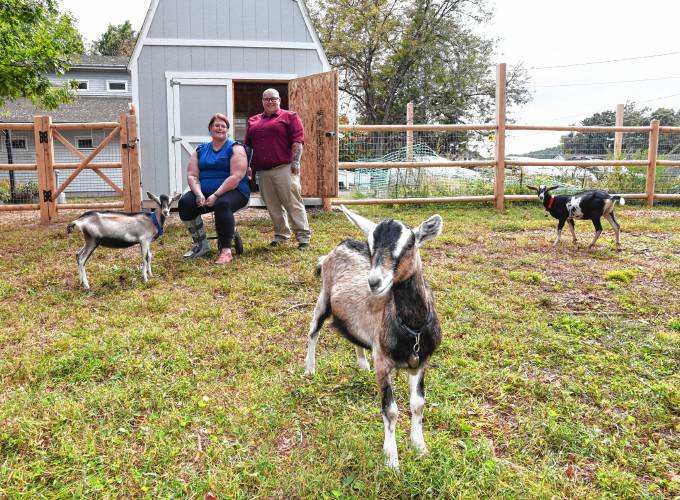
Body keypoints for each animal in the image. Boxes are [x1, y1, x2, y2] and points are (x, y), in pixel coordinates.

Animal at [306, 204, 444, 468]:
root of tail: (339, 246)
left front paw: (420, 448)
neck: (412, 327)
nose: (374, 282)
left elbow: (418, 405)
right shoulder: (382, 362)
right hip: (323, 297)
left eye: (409, 244)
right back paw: (309, 369)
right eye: (370, 246)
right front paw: (391, 459)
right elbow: (390, 410)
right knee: (312, 331)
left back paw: (361, 364)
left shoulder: (420, 362)